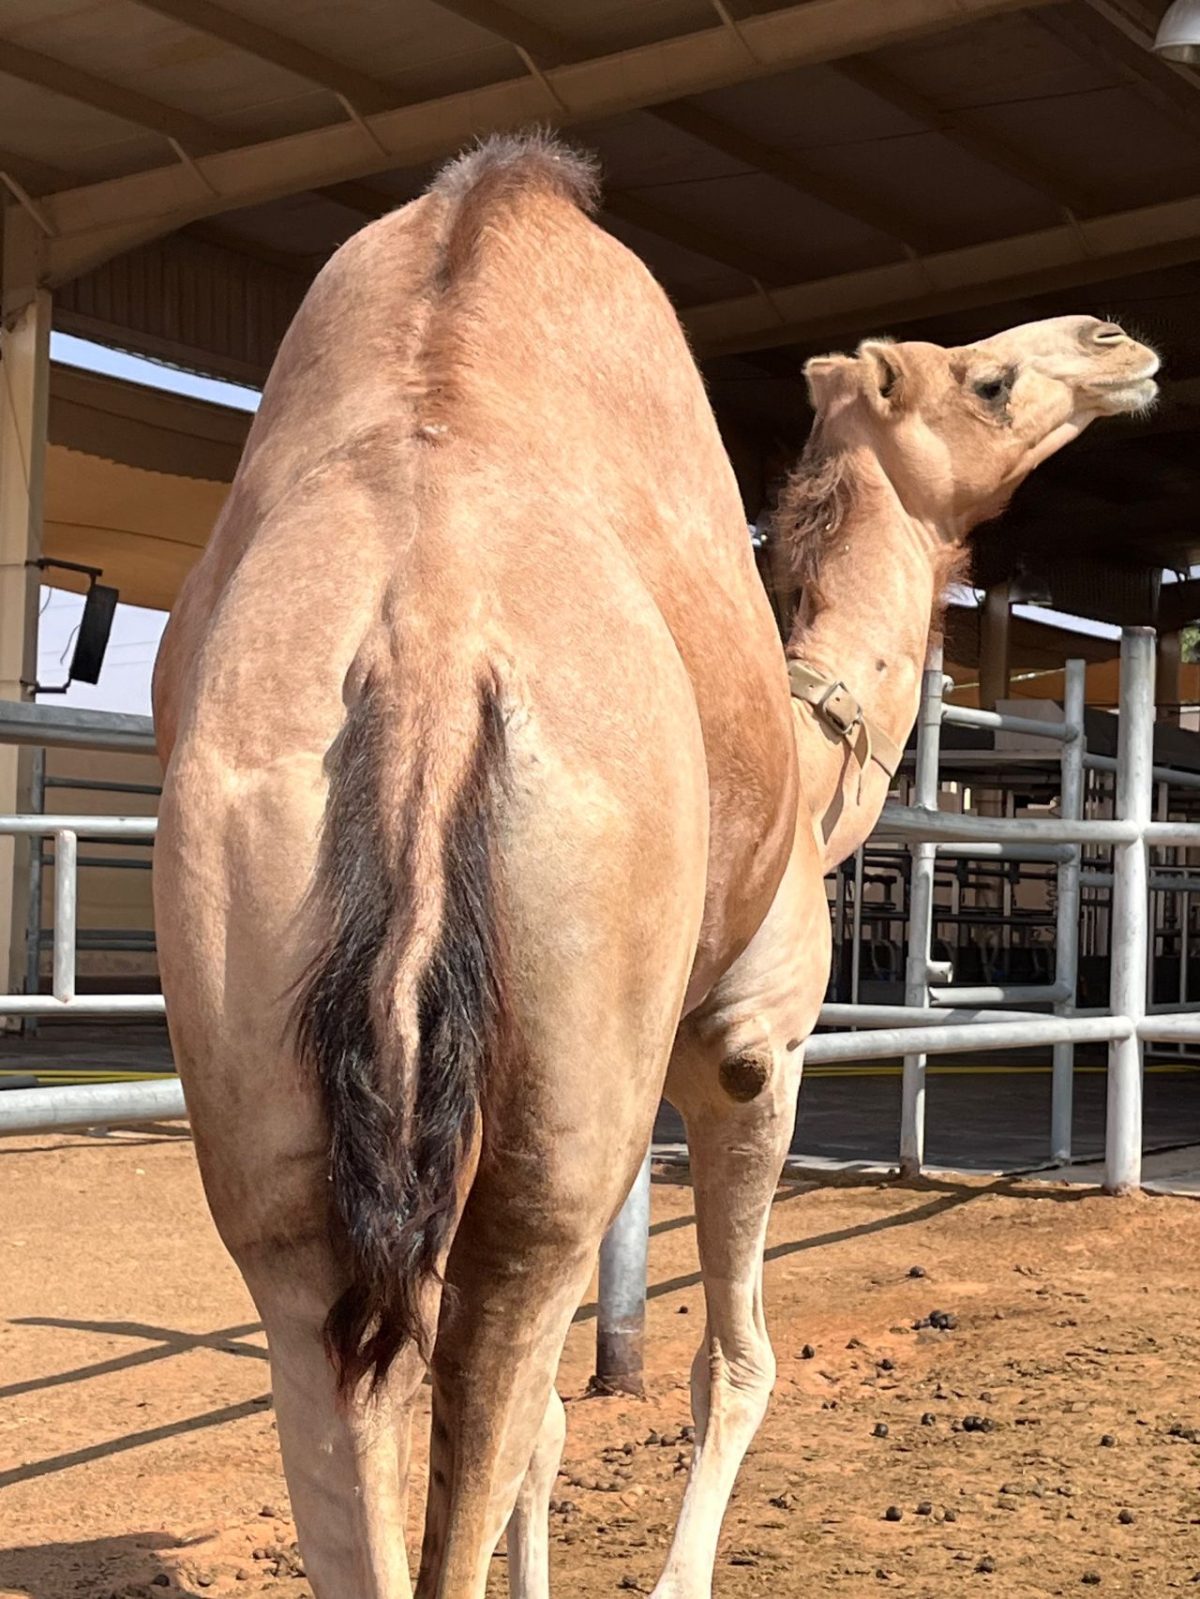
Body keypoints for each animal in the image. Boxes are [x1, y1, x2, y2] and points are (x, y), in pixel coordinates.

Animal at [151, 131, 1158, 1599]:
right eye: (989, 378)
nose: (1119, 338)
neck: (808, 760)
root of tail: (425, 643)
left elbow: (556, 1424)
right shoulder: (747, 1038)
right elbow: (730, 1362)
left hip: (265, 1018)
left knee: (349, 1365)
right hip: (570, 1053)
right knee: (512, 1335)